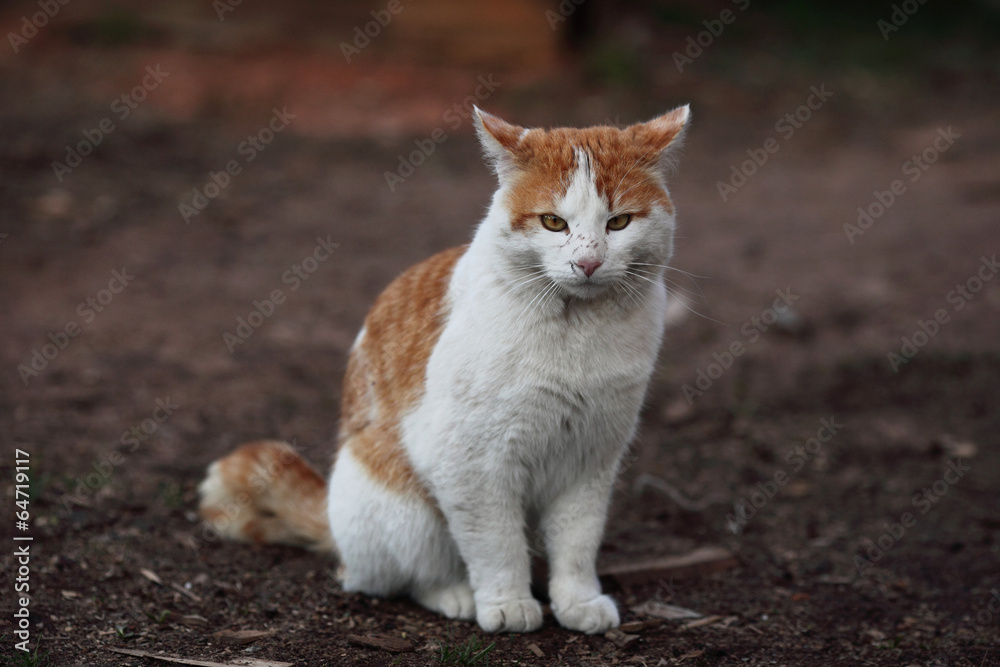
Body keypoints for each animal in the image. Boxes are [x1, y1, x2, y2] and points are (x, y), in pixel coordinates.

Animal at [199, 105, 692, 636]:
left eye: (618, 222)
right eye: (553, 222)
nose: (588, 262)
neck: (577, 331)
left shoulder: (590, 459)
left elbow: (577, 541)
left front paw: (576, 600)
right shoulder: (469, 462)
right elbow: (496, 543)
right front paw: (507, 603)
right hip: (405, 506)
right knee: (394, 577)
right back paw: (456, 595)